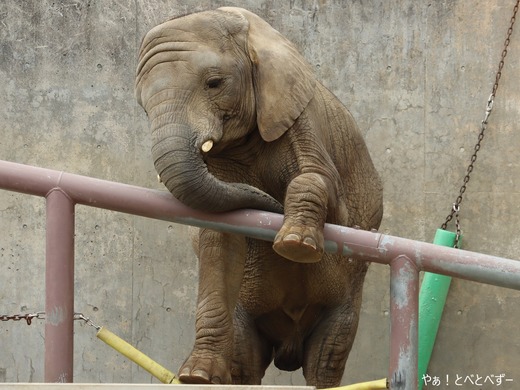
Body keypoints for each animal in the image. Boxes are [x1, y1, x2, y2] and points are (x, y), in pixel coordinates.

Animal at [136, 7, 384, 388]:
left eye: (214, 83)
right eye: (143, 106)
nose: (271, 204)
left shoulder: (298, 116)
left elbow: (324, 191)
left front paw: (295, 245)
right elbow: (219, 239)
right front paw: (196, 376)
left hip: (345, 301)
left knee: (327, 357)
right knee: (246, 361)